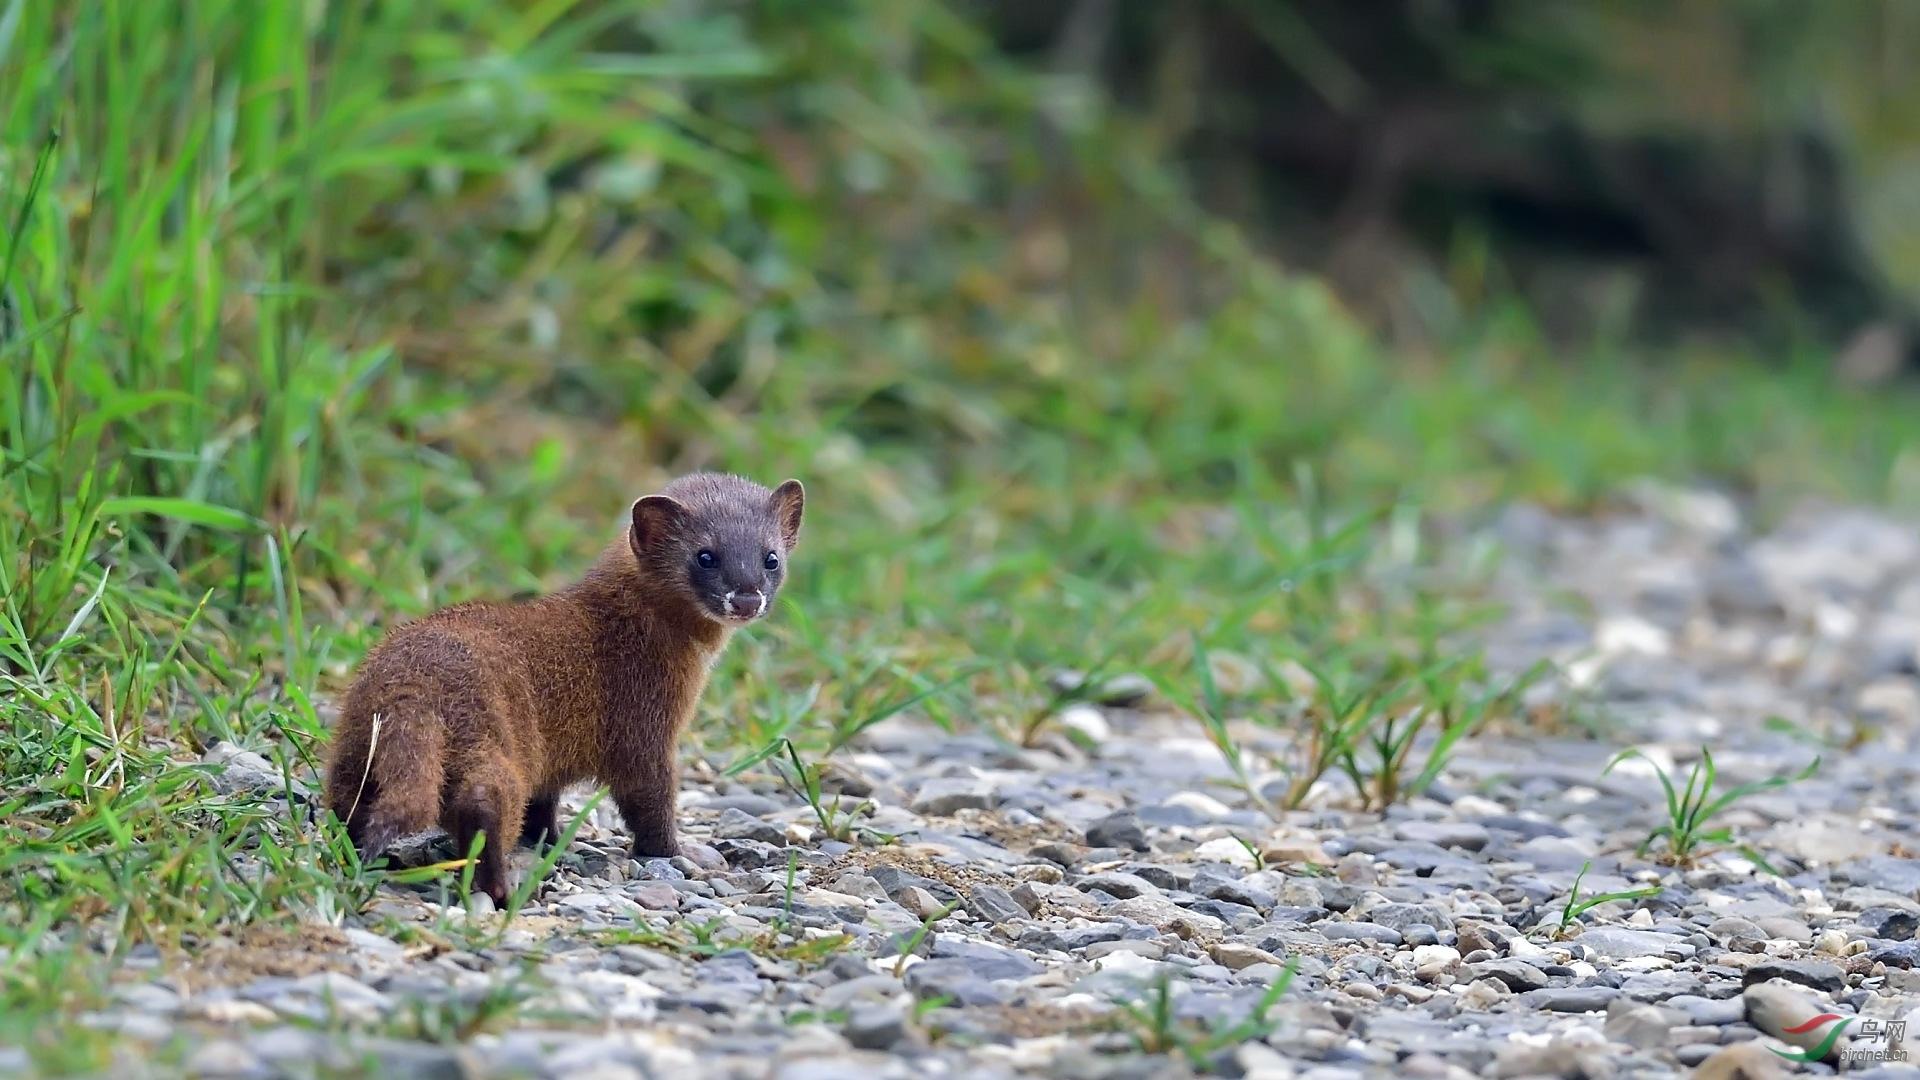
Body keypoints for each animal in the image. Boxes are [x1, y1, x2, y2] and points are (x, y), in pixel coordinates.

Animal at [322, 470, 802, 899]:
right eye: (705, 556)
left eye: (771, 558)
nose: (746, 597)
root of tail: (413, 683)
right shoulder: (643, 722)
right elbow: (648, 795)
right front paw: (673, 851)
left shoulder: (551, 756)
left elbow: (544, 800)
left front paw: (549, 838)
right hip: (491, 731)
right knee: (485, 799)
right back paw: (500, 888)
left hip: (357, 740)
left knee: (349, 798)